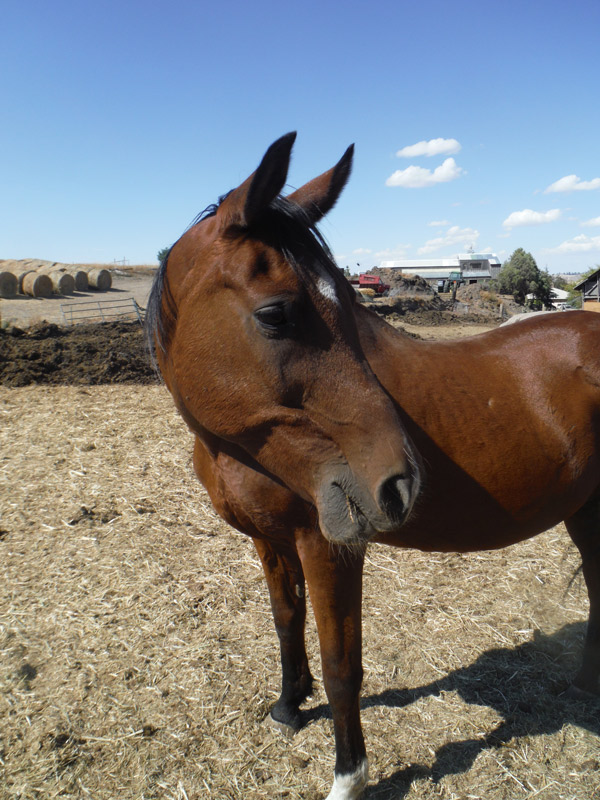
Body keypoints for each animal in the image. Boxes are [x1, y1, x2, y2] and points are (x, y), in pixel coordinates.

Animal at [148, 131, 600, 800]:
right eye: (276, 314)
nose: (400, 484)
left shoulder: (331, 543)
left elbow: (342, 664)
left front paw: (349, 775)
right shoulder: (269, 539)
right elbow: (286, 621)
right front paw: (289, 706)